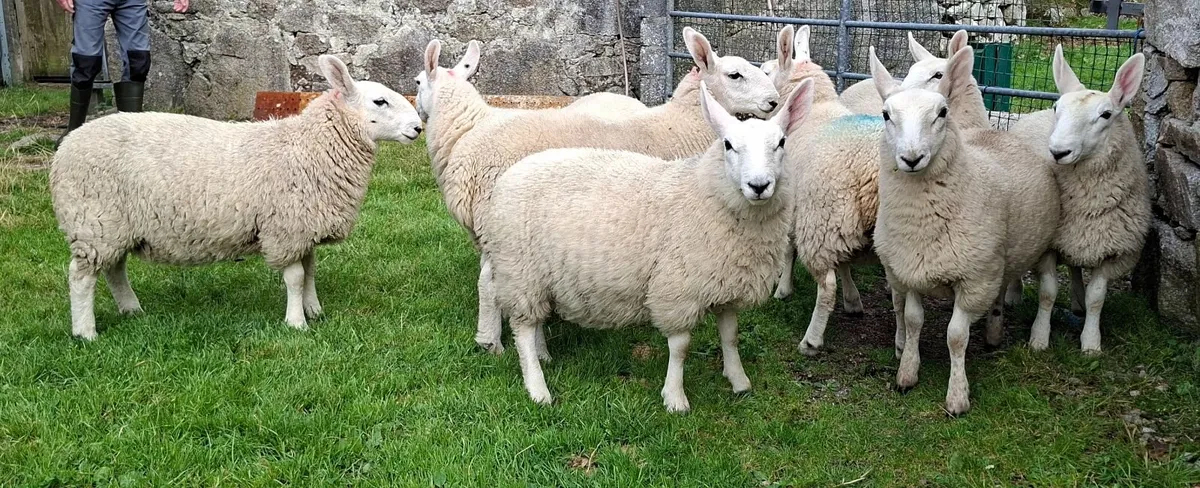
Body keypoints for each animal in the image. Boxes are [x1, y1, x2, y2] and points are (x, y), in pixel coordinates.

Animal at [50, 55, 422, 339]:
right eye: (379, 101)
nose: (418, 127)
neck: (308, 145)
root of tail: (66, 146)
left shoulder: (304, 227)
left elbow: (311, 271)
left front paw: (314, 310)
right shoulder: (285, 228)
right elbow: (296, 277)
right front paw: (296, 323)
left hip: (114, 226)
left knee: (115, 270)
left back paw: (132, 310)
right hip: (94, 221)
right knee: (81, 278)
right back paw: (86, 332)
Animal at [477, 78, 814, 411]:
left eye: (781, 143)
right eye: (728, 145)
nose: (759, 186)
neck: (702, 195)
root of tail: (511, 173)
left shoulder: (727, 284)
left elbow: (730, 336)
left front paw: (738, 381)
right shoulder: (676, 288)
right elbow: (680, 347)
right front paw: (675, 398)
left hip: (540, 276)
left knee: (535, 321)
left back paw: (544, 355)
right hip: (520, 270)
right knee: (523, 328)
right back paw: (537, 387)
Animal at [869, 46, 1060, 414]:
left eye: (942, 112)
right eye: (886, 115)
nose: (911, 158)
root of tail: (999, 133)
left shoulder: (973, 280)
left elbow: (956, 336)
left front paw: (957, 396)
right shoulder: (910, 270)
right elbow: (913, 321)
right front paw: (907, 374)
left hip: (1036, 249)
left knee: (1046, 291)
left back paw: (1036, 337)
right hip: (996, 258)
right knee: (1001, 289)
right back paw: (994, 333)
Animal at [1008, 46, 1150, 353]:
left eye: (1106, 114)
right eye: (1057, 109)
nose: (1058, 152)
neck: (1086, 202)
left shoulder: (1112, 250)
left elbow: (1097, 298)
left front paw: (1091, 343)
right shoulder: (1047, 246)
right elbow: (1048, 293)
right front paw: (1039, 338)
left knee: (1074, 266)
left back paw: (1077, 302)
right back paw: (1013, 294)